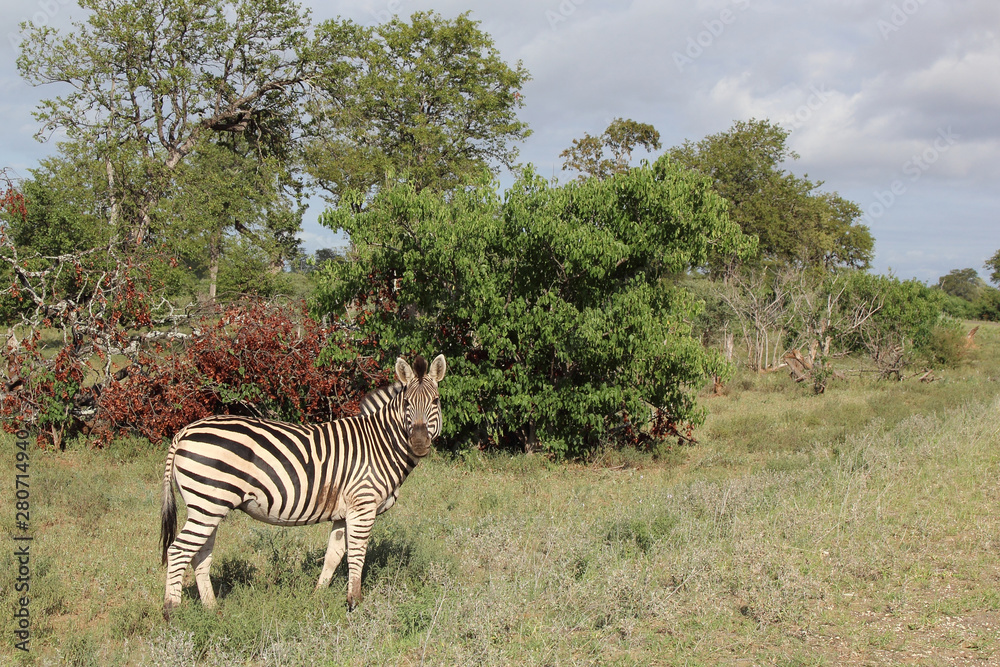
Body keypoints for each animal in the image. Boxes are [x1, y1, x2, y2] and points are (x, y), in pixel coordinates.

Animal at [159, 354, 446, 618]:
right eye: (407, 403)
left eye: (435, 401)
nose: (419, 443)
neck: (379, 444)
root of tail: (184, 432)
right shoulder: (362, 505)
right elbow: (357, 554)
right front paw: (354, 603)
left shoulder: (343, 512)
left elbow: (334, 555)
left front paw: (316, 597)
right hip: (208, 504)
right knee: (178, 551)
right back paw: (172, 612)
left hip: (208, 506)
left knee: (199, 554)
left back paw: (212, 610)